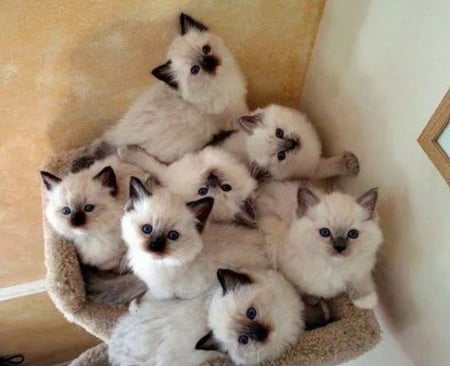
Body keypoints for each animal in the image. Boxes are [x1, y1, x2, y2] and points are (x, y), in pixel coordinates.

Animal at [71, 13, 246, 173]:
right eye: (195, 70)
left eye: (206, 49)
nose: (208, 62)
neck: (220, 82)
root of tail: (118, 137)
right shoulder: (229, 115)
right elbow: (238, 119)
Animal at [117, 144, 256, 224]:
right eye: (226, 187)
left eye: (202, 191)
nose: (212, 179)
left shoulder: (166, 173)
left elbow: (149, 163)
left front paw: (124, 152)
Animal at [220, 104, 360, 180]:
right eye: (281, 155)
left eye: (279, 133)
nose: (293, 143)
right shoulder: (311, 169)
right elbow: (329, 166)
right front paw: (350, 164)